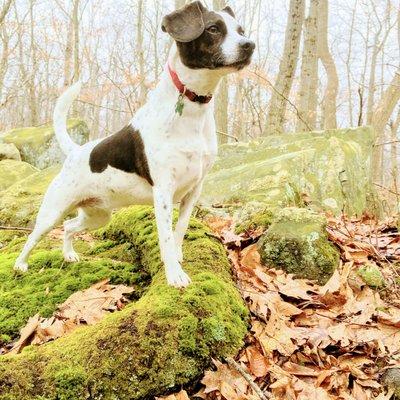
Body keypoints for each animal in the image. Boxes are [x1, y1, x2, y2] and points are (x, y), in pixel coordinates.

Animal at [14, 0, 256, 288]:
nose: (250, 45)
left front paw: (178, 258)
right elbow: (165, 237)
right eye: (212, 29)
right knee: (33, 238)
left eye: (241, 30)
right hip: (52, 213)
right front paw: (174, 275)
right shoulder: (163, 192)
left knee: (69, 227)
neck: (191, 110)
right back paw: (20, 265)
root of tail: (76, 151)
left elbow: (179, 231)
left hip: (98, 216)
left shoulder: (193, 191)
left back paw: (69, 254)